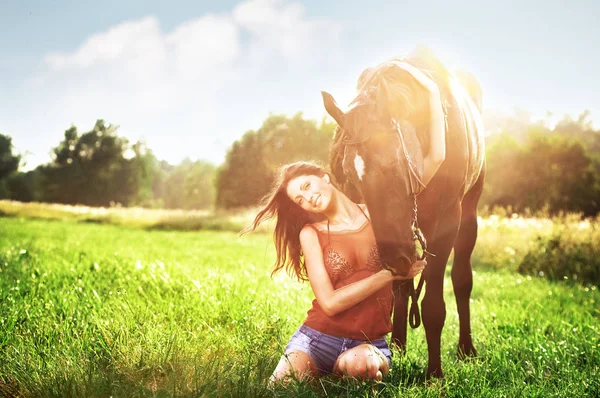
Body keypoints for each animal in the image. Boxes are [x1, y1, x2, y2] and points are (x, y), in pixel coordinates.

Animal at [322, 45, 486, 378]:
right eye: (351, 178)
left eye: (392, 164)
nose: (395, 258)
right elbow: (395, 289)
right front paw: (394, 346)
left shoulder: (446, 221)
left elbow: (434, 306)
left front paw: (434, 373)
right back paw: (398, 344)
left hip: (468, 214)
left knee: (461, 279)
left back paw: (466, 348)